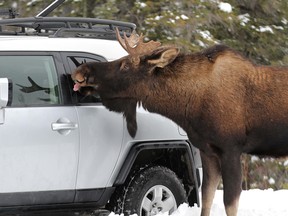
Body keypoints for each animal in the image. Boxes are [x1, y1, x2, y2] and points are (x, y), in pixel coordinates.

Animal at [71, 28, 288, 216]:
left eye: (125, 65)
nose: (81, 69)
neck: (189, 106)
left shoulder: (232, 149)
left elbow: (230, 204)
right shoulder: (208, 150)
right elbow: (206, 199)